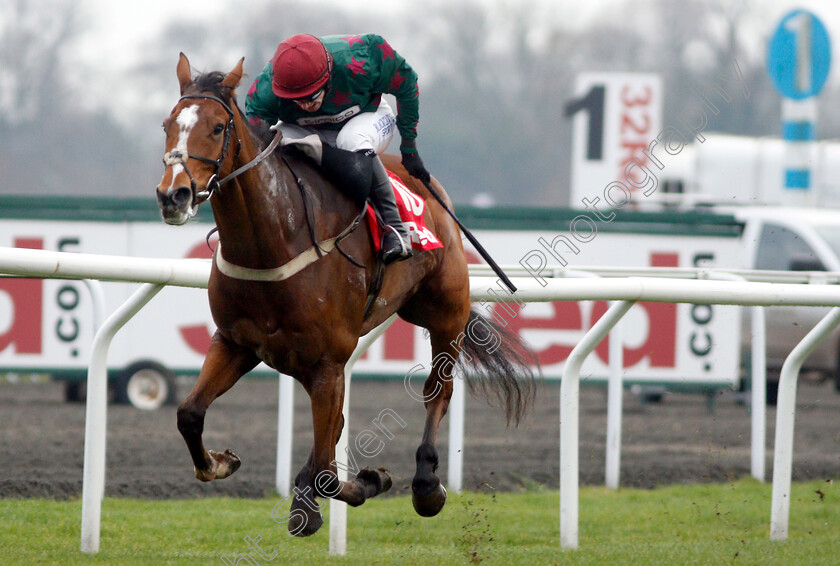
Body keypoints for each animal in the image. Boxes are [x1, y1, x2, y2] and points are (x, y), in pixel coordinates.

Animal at [156, 54, 540, 536]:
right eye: (167, 124)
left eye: (218, 126)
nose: (173, 195)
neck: (273, 240)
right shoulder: (236, 343)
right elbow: (189, 414)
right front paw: (220, 462)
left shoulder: (328, 363)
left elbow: (322, 466)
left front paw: (330, 498)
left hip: (446, 312)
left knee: (438, 389)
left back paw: (426, 484)